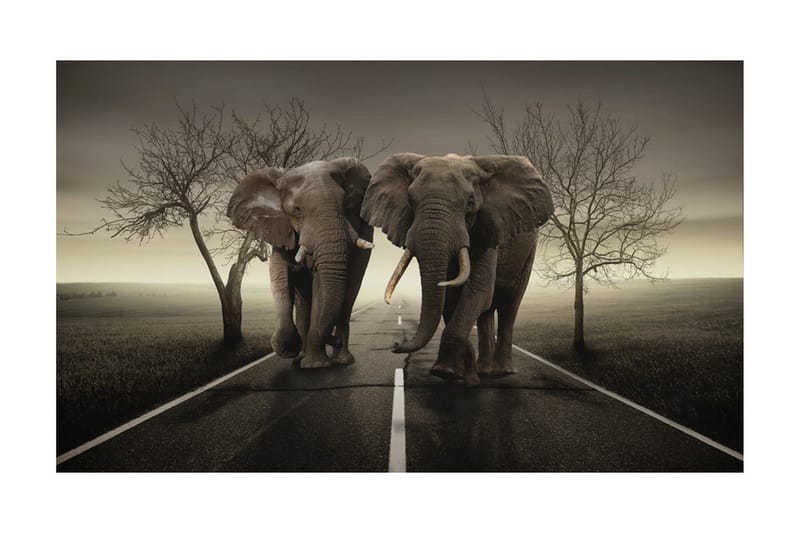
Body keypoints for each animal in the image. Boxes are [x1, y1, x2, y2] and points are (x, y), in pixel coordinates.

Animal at [227, 158, 374, 368]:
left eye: (345, 205)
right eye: (297, 210)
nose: (334, 340)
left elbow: (321, 285)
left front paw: (315, 365)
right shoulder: (279, 229)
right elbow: (279, 275)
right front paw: (290, 348)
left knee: (349, 293)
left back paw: (342, 360)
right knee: (303, 299)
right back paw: (300, 359)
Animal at [361, 153, 553, 386]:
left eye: (470, 203)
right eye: (410, 201)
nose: (396, 345)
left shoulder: (488, 229)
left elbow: (478, 291)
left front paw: (447, 372)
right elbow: (451, 297)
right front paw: (462, 376)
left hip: (528, 252)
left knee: (510, 303)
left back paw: (502, 373)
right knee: (486, 311)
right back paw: (484, 372)